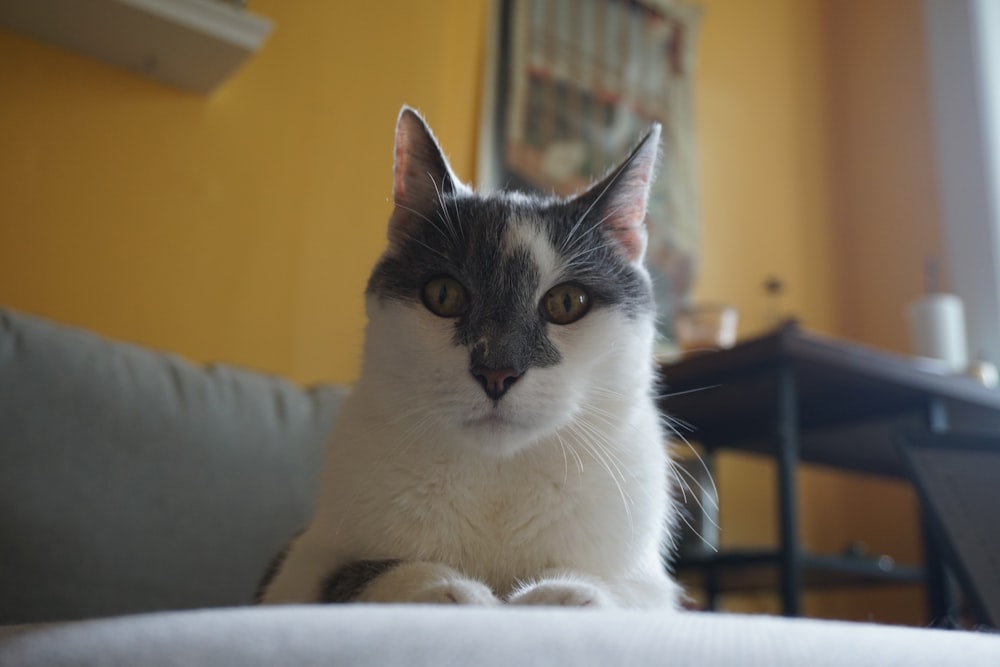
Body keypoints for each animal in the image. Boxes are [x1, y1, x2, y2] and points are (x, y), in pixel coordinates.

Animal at [258, 105, 684, 612]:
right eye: (444, 295)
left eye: (567, 302)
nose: (496, 371)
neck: (496, 477)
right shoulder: (299, 567)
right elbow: (362, 572)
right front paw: (453, 591)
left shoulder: (650, 584)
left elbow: (618, 589)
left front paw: (565, 595)